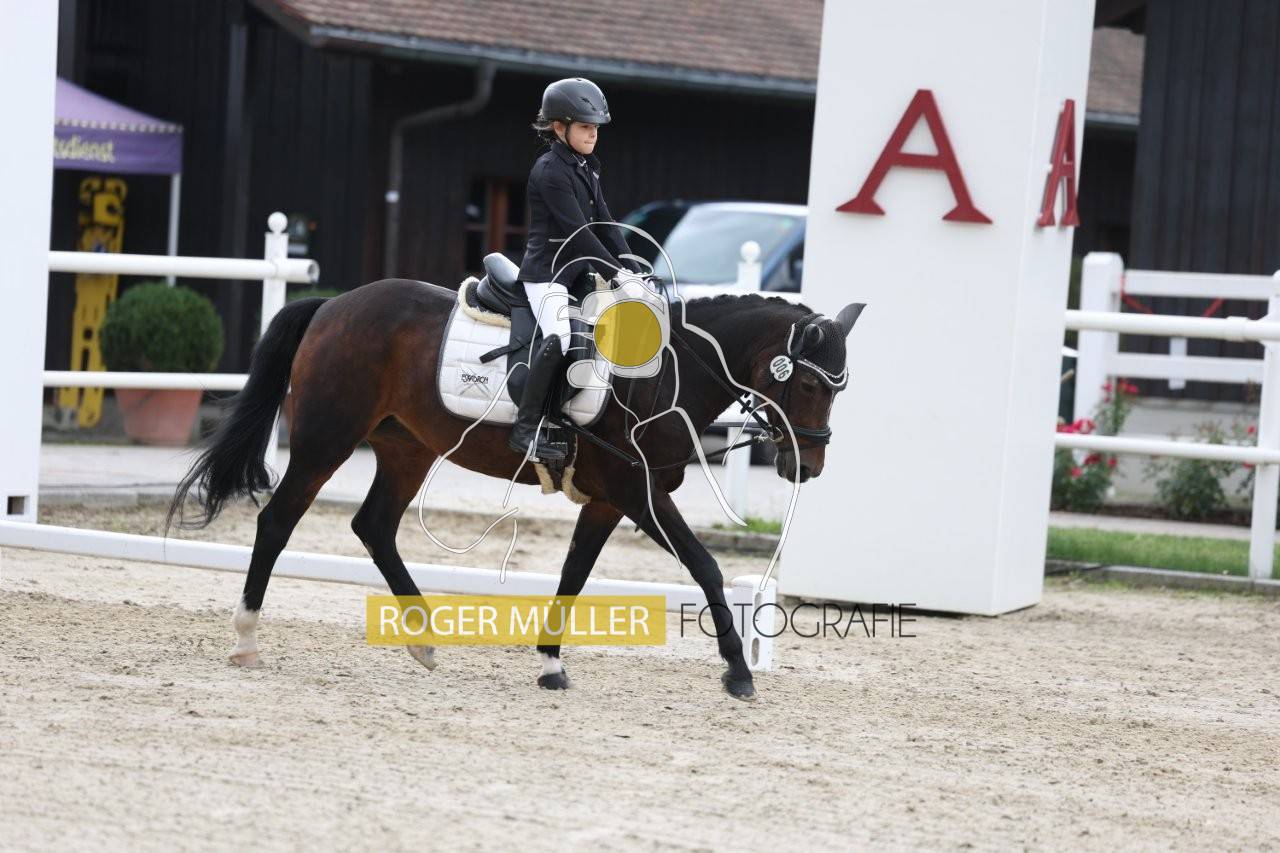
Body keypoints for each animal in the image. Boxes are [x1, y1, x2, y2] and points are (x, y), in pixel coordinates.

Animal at [167, 277, 863, 700]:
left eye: (839, 388)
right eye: (808, 384)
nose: (807, 466)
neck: (666, 374)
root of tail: (335, 305)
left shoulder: (607, 501)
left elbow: (574, 575)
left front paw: (552, 663)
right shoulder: (638, 494)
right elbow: (706, 567)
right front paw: (739, 673)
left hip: (406, 447)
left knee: (374, 526)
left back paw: (423, 642)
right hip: (327, 438)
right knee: (278, 521)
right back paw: (247, 639)